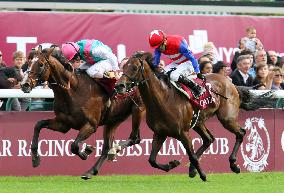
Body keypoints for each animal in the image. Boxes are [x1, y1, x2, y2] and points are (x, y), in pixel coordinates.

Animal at [20, 47, 144, 179]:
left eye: (41, 64)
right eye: (28, 63)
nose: (24, 84)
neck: (73, 91)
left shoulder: (90, 125)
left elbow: (74, 146)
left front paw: (86, 151)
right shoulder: (63, 124)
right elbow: (38, 124)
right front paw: (35, 158)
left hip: (138, 110)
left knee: (134, 138)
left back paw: (113, 151)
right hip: (113, 120)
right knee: (107, 147)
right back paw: (92, 170)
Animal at [116, 51, 276, 181]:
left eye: (134, 68)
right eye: (123, 67)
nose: (119, 86)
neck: (163, 99)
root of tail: (229, 81)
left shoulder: (183, 132)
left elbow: (191, 155)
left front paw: (203, 175)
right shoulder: (160, 133)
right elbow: (152, 160)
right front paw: (172, 164)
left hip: (226, 118)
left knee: (241, 132)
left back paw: (233, 165)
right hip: (199, 122)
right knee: (209, 139)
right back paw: (193, 169)